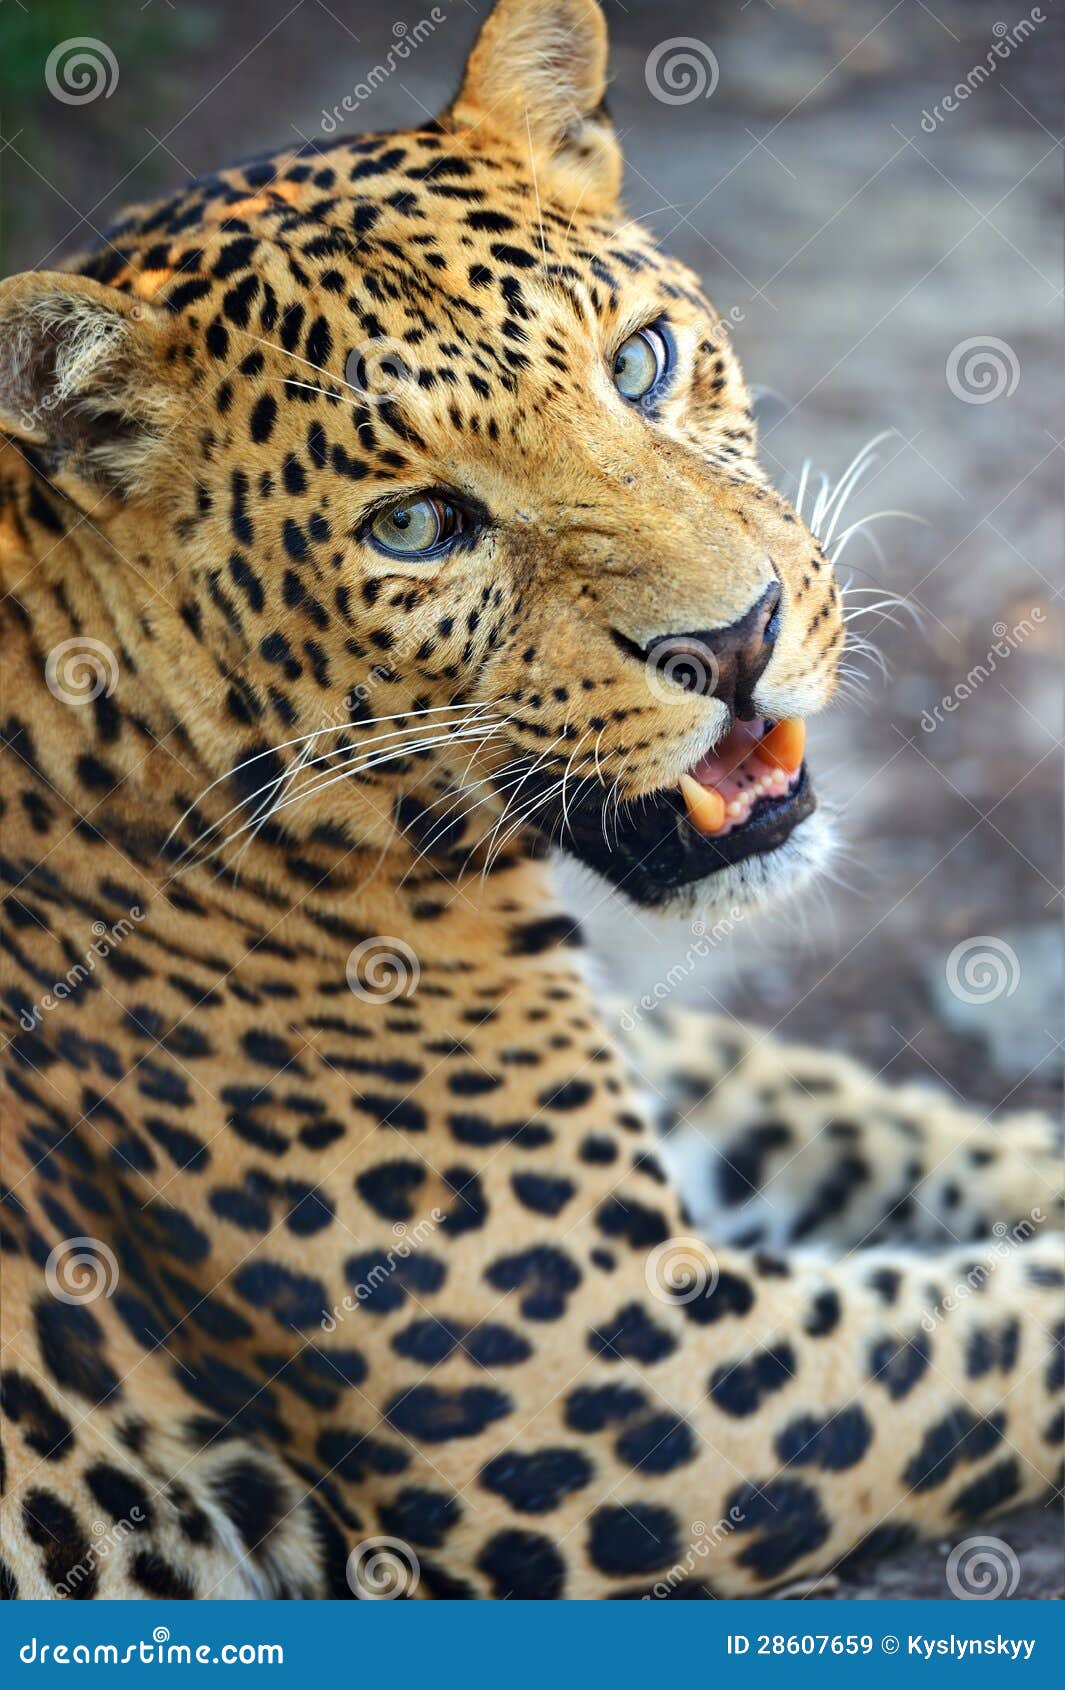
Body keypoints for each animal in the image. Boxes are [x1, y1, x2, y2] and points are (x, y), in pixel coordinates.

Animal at [0, 0, 1061, 1595]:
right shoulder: (654, 1389)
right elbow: (997, 1327)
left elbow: (864, 1113)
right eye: (416, 527)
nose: (733, 640)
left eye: (643, 363)